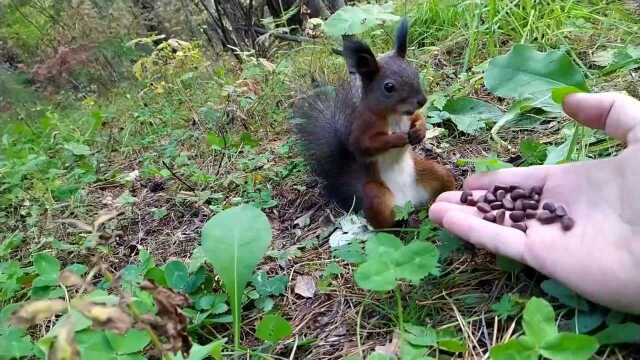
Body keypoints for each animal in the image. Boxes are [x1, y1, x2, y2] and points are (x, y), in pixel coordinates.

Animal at [296, 19, 456, 228]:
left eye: (414, 72)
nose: (422, 100)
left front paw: (419, 131)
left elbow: (418, 119)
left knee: (442, 177)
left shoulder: (409, 117)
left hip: (431, 172)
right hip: (376, 196)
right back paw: (401, 225)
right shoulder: (364, 126)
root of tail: (409, 202)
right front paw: (398, 138)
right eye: (388, 87)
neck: (395, 115)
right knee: (384, 222)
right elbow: (365, 145)